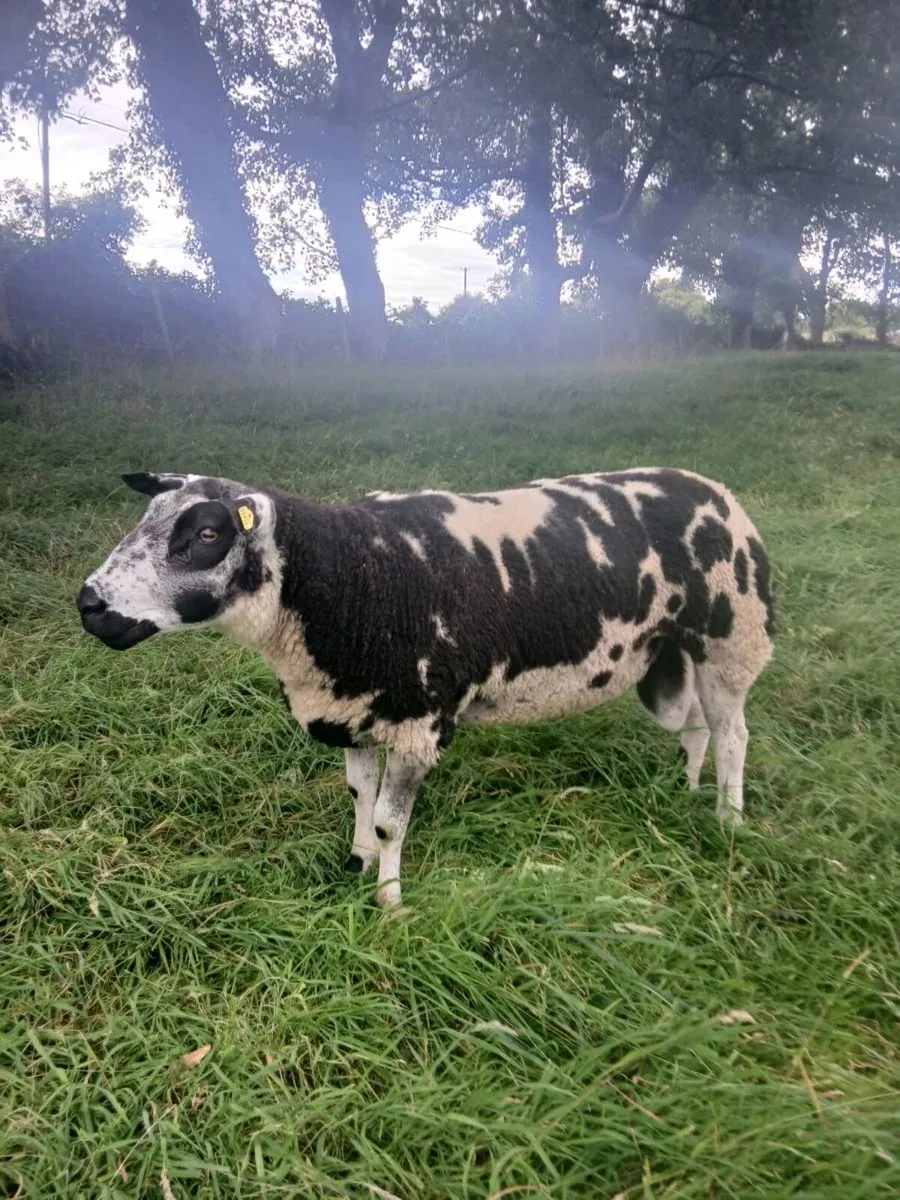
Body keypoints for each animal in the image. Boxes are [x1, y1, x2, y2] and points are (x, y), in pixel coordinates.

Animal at [78, 467, 775, 908]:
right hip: (682, 652)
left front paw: (389, 902)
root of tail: (717, 491)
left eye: (207, 534)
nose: (89, 605)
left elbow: (391, 823)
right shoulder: (355, 707)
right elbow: (359, 795)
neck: (347, 576)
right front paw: (355, 863)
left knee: (733, 734)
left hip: (733, 638)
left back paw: (728, 819)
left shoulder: (419, 720)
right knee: (698, 727)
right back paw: (683, 790)